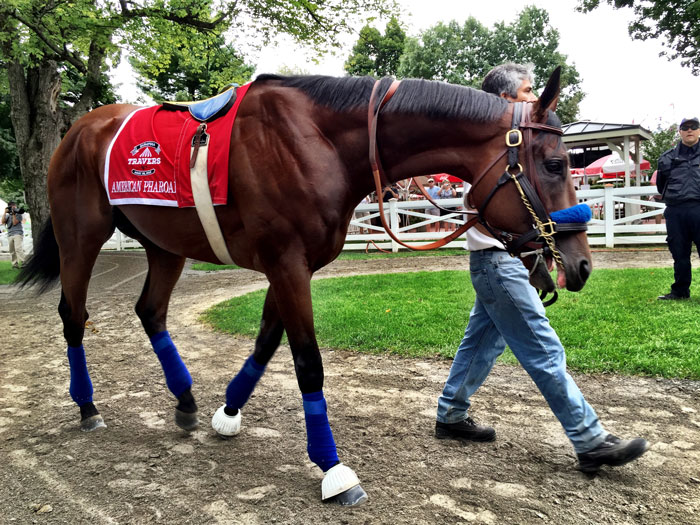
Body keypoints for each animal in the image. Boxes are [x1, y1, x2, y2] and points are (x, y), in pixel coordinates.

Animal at [17, 66, 592, 504]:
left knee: (151, 311)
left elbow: (267, 342)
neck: (319, 139)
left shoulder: (292, 266)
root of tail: (79, 128)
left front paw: (228, 413)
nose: (581, 264)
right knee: (74, 316)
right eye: (555, 163)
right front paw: (333, 469)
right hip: (80, 239)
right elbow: (307, 362)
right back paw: (87, 407)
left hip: (164, 244)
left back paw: (184, 399)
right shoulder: (288, 264)